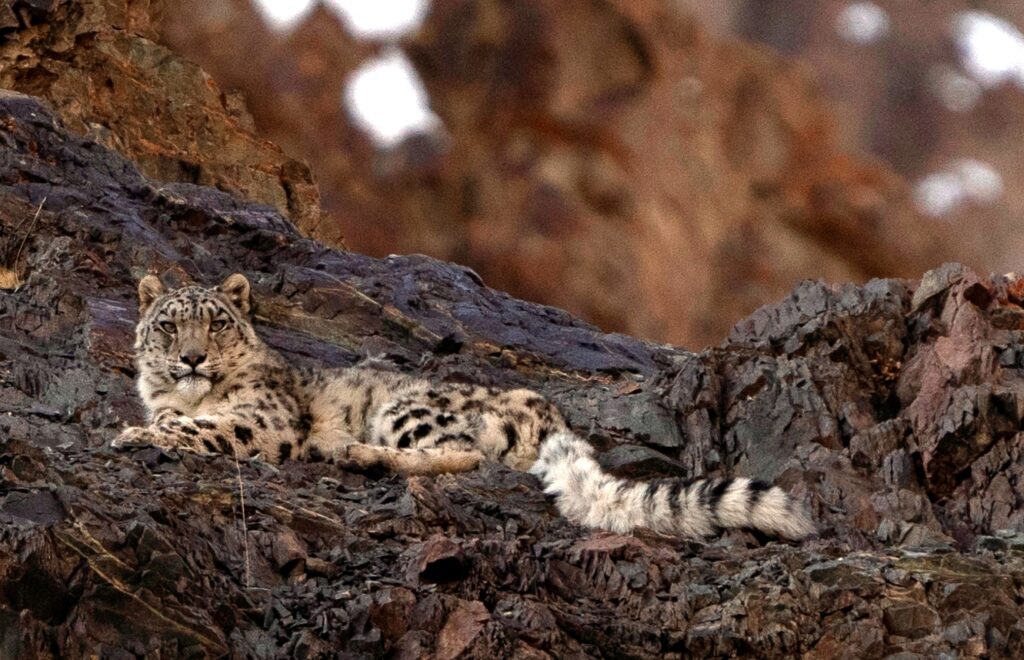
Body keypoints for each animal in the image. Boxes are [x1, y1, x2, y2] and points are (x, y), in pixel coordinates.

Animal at [112, 273, 815, 541]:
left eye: (216, 323)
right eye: (169, 326)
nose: (192, 359)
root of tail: (552, 415)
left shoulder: (263, 420)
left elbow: (208, 429)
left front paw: (138, 436)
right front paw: (153, 423)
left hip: (410, 409)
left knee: (466, 455)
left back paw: (360, 453)